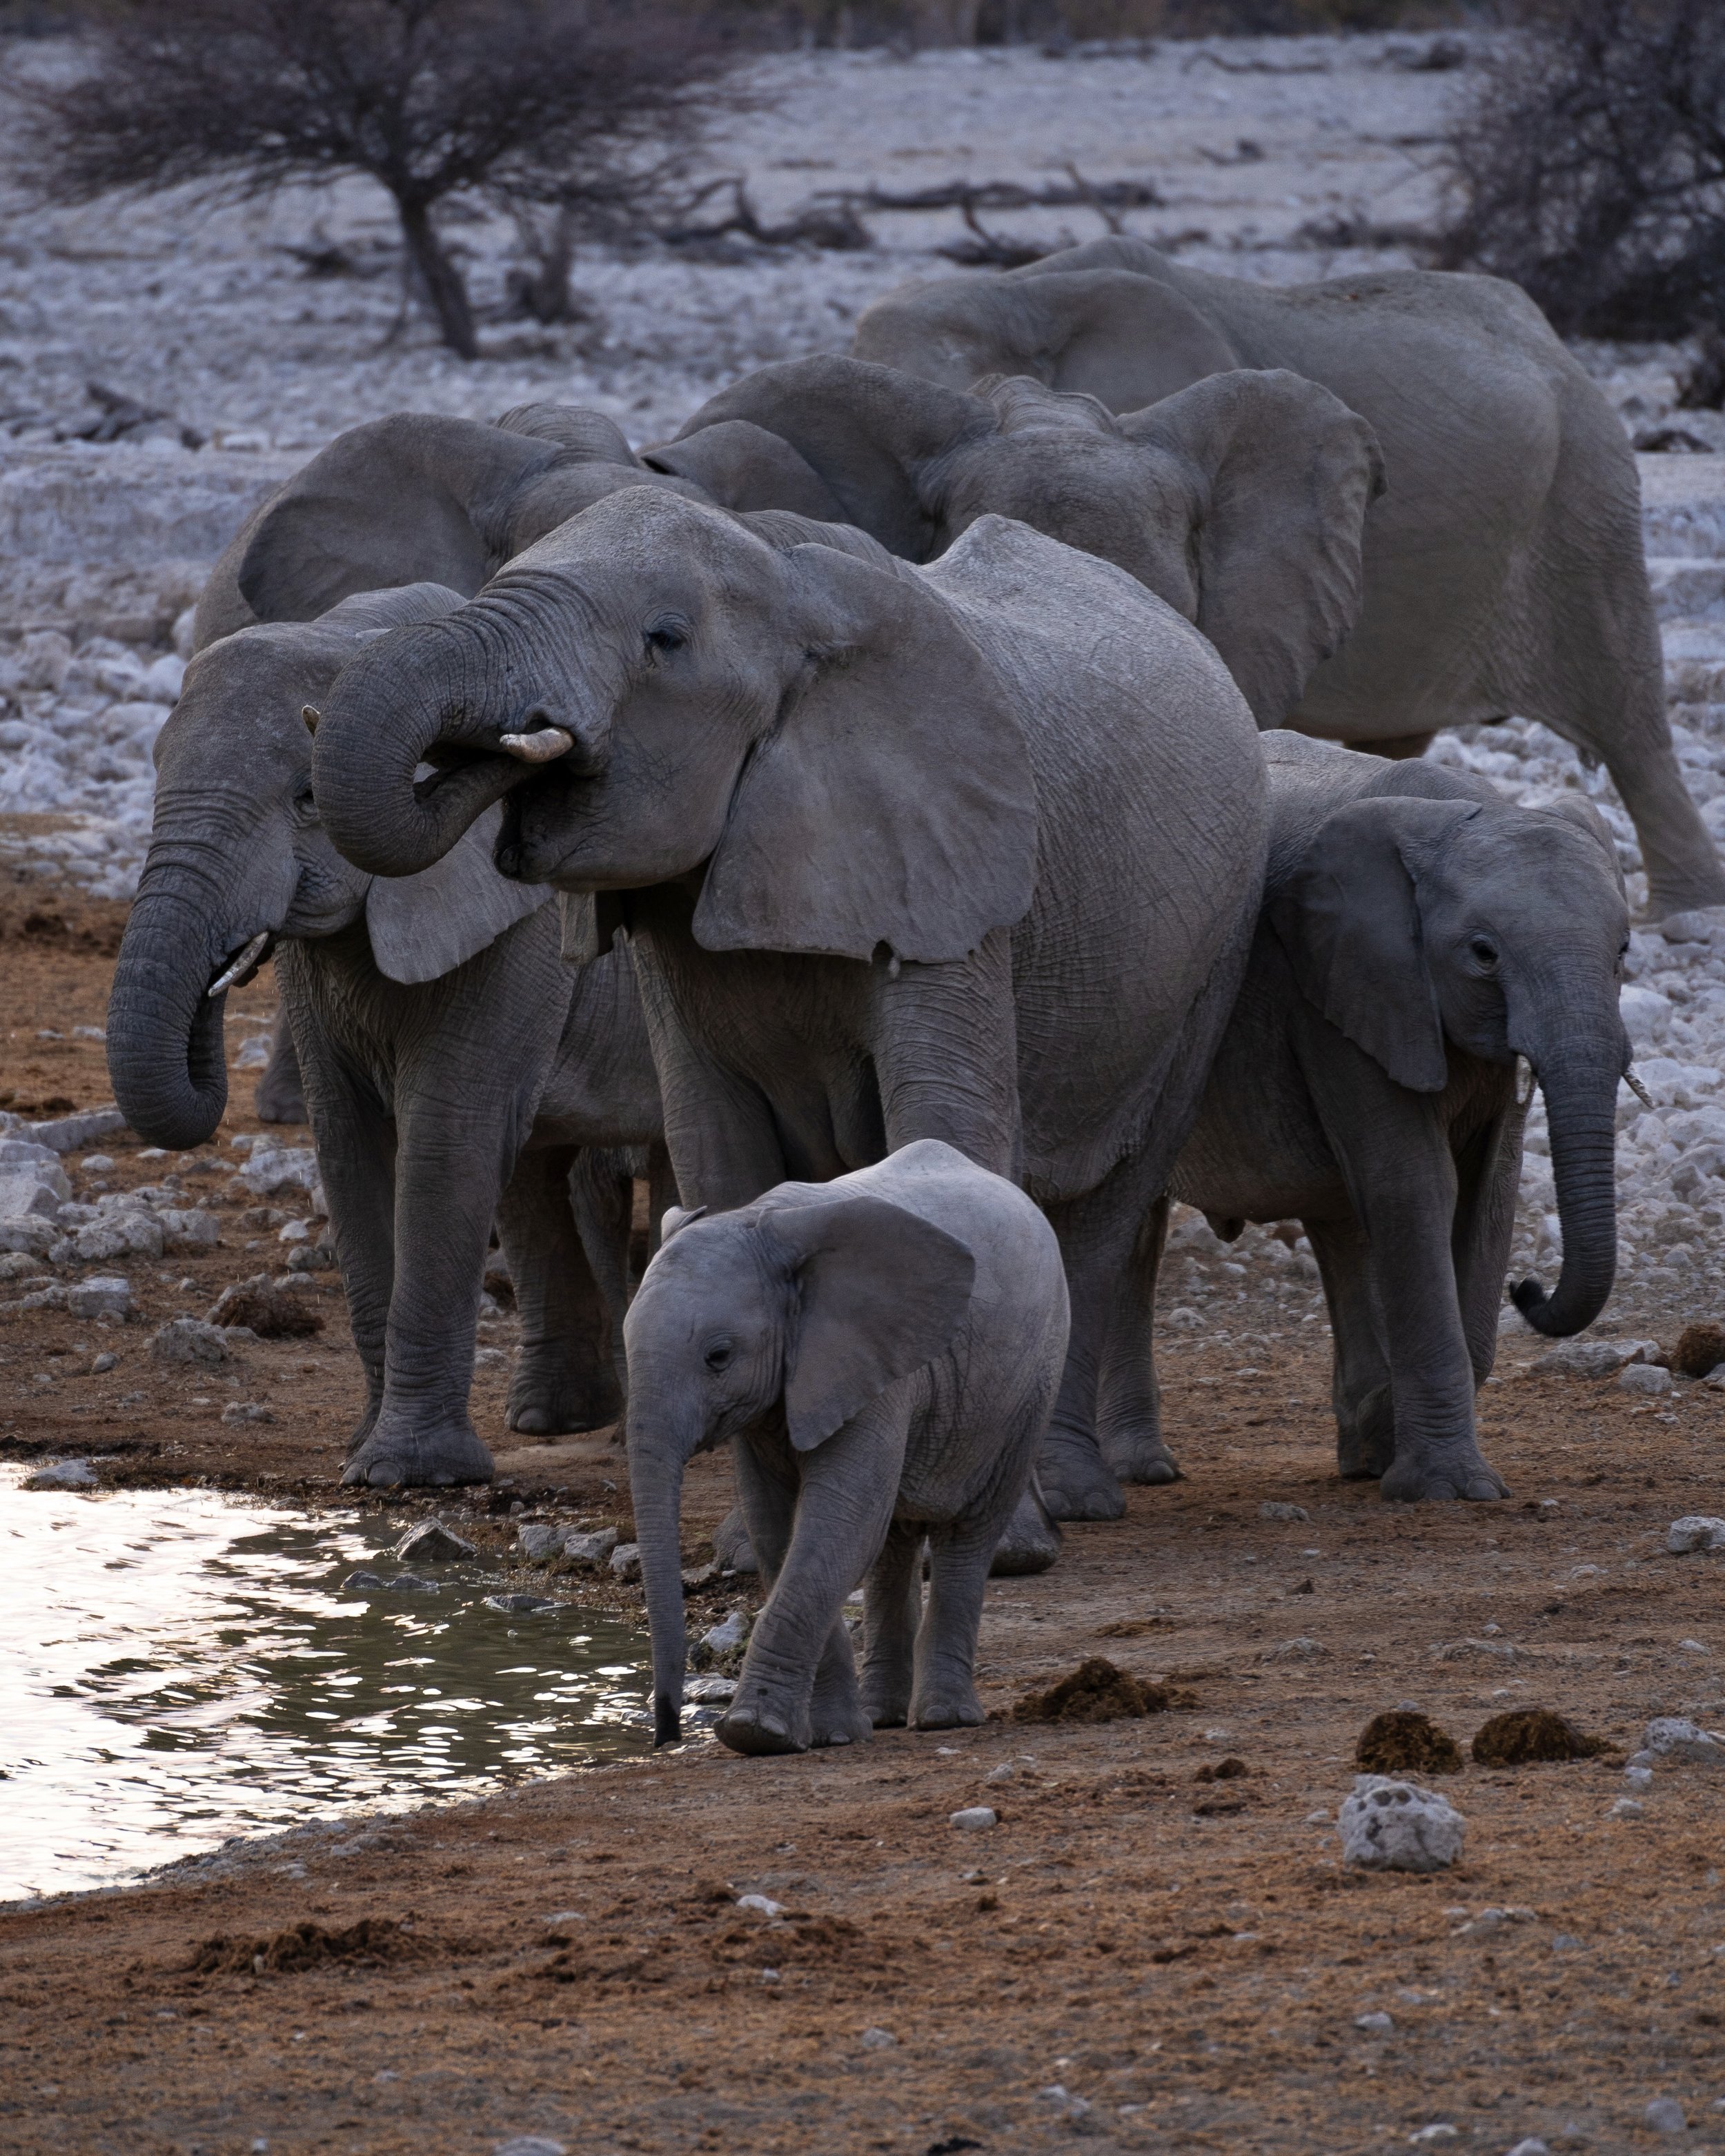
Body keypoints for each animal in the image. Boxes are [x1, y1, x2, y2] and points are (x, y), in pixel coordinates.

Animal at [106, 582, 666, 1488]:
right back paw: (557, 1421)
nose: (227, 963)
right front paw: (360, 1458)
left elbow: (444, 1140)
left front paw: (408, 1475)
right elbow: (347, 1142)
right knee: (545, 1174)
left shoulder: (525, 925)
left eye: (306, 799)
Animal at [303, 486, 1333, 1523]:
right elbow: (714, 1142)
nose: (520, 748)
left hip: (1210, 955)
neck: (791, 588)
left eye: (664, 639)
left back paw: (1067, 1500)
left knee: (1106, 1210)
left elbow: (948, 1121)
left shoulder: (950, 874)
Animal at [627, 1140, 1069, 1754]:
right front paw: (828, 1735)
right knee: (890, 1542)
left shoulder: (872, 1364)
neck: (762, 1221)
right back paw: (882, 1716)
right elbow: (779, 1528)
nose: (665, 1734)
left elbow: (837, 1519)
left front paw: (754, 1732)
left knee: (968, 1534)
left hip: (1032, 1382)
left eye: (719, 1356)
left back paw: (945, 1719)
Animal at [1158, 731, 1630, 1505]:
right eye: (1483, 954)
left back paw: (1361, 1456)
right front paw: (1448, 1490)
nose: (1527, 1287)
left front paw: (1401, 1454)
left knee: (1338, 1222)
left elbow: (1487, 1194)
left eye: (1623, 951)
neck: (1455, 812)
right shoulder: (1334, 985)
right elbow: (1417, 1183)